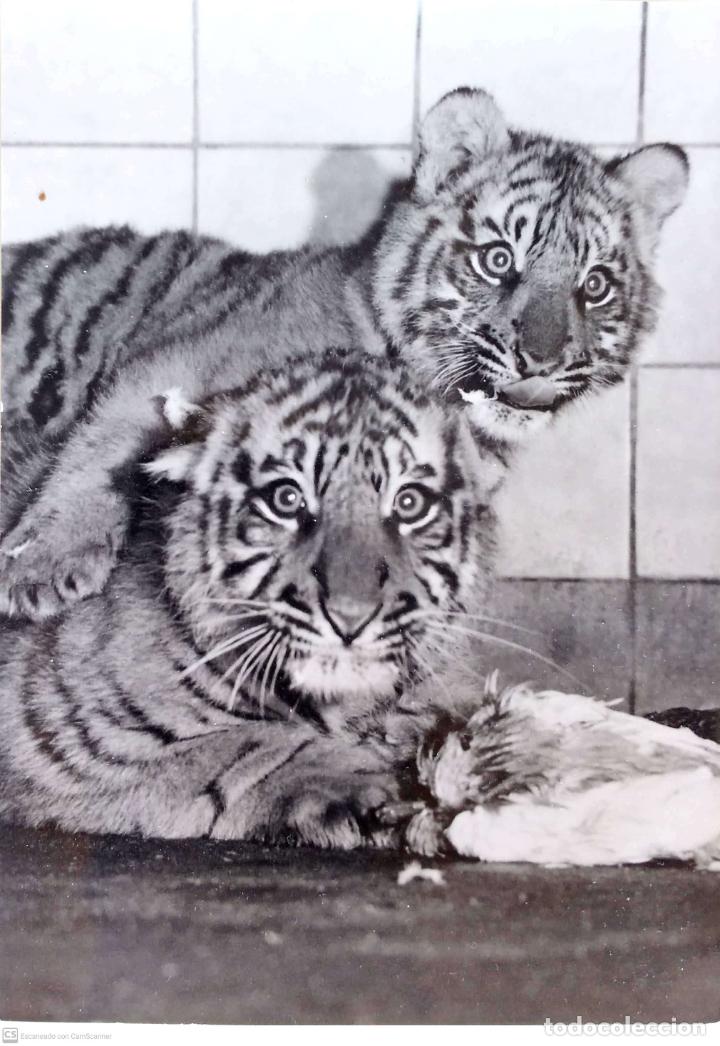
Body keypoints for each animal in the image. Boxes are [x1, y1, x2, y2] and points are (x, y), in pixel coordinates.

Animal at [0, 87, 688, 620]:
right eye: (498, 260)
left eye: (594, 285)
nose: (540, 362)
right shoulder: (167, 368)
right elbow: (101, 451)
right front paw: (40, 566)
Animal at [0, 351, 506, 847]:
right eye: (286, 499)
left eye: (410, 504)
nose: (350, 617)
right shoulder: (66, 740)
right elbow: (246, 744)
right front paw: (374, 783)